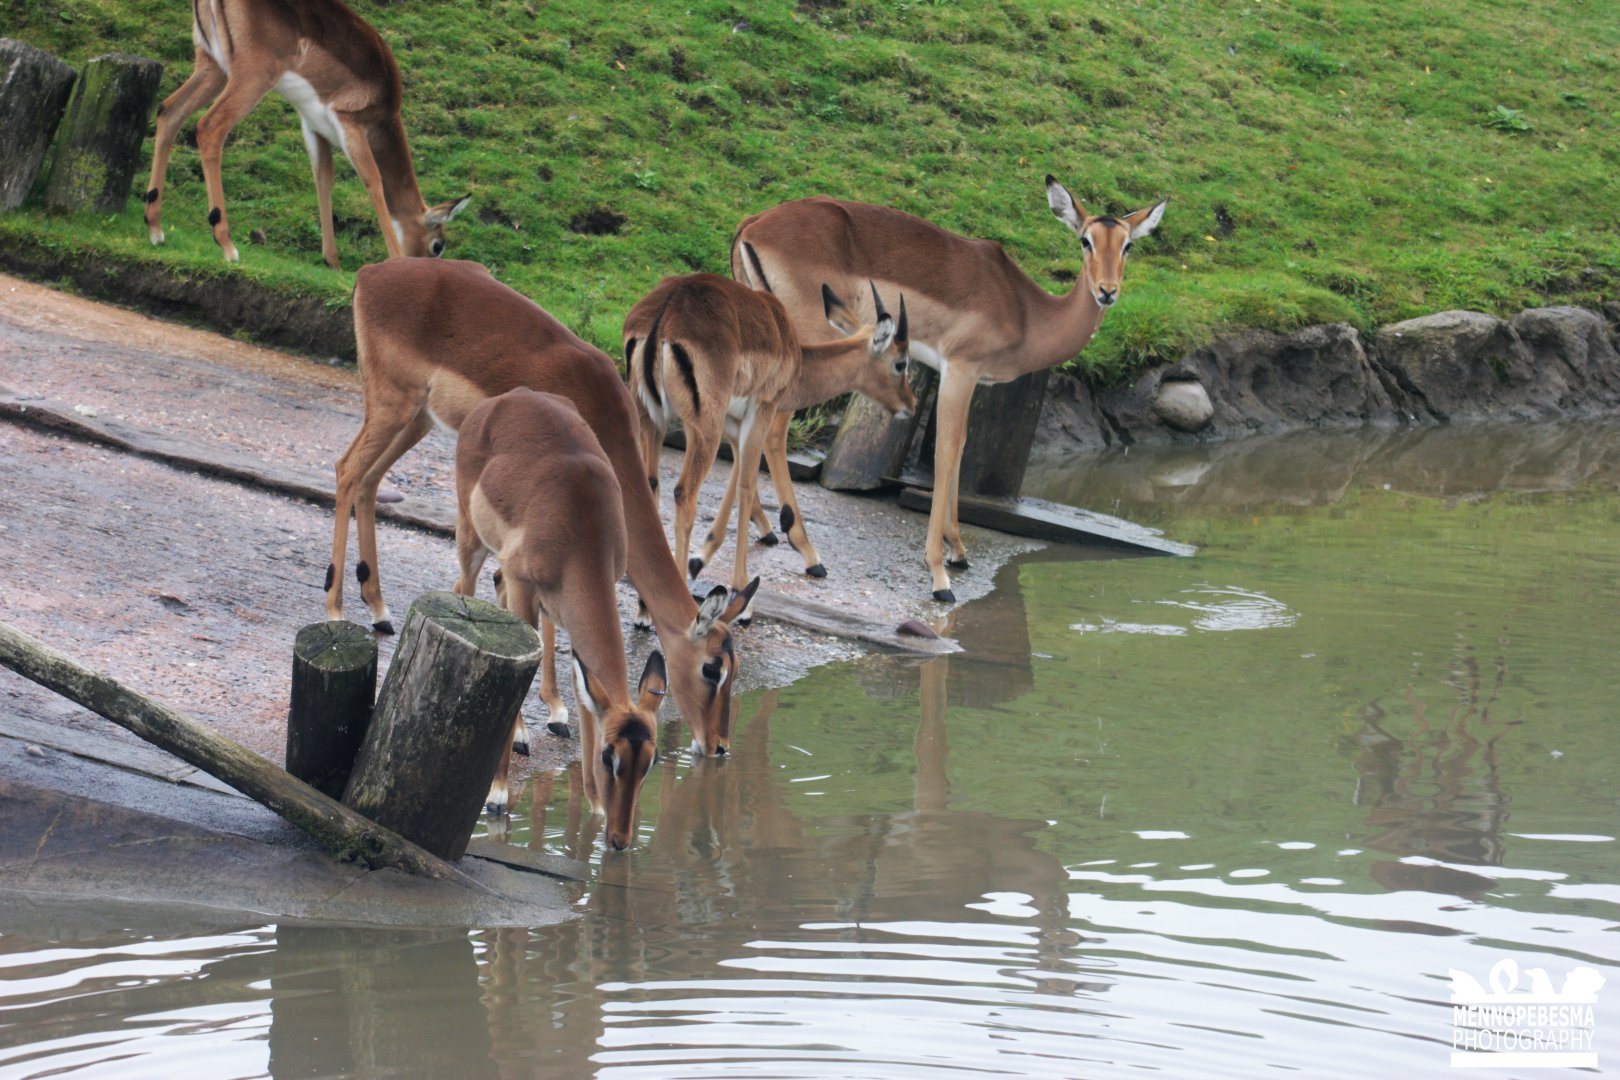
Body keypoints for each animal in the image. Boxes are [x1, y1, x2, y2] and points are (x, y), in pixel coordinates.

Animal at [143, 0, 469, 267]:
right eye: (437, 245)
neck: (384, 106)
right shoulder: (351, 126)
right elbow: (373, 181)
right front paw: (395, 260)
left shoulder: (314, 127)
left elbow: (323, 179)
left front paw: (333, 262)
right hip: (251, 79)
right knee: (210, 127)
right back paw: (226, 244)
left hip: (212, 68)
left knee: (169, 112)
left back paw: (155, 226)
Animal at [326, 258, 758, 759]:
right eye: (711, 667)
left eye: (734, 667)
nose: (719, 745)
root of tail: (373, 272)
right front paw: (528, 729)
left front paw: (554, 709)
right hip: (394, 404)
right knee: (346, 471)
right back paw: (336, 610)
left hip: (418, 418)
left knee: (369, 482)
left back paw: (379, 609)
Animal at [452, 388, 665, 843]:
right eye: (610, 756)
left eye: (649, 763)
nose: (620, 840)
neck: (581, 526)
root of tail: (509, 397)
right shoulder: (524, 588)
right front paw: (497, 795)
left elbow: (583, 692)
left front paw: (595, 807)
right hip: (472, 539)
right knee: (464, 588)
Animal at [624, 266, 915, 615]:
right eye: (901, 363)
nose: (911, 405)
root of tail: (664, 314)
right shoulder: (763, 408)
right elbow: (747, 484)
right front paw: (743, 589)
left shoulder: (735, 420)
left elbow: (737, 473)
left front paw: (703, 557)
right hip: (701, 429)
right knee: (684, 494)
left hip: (651, 418)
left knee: (649, 485)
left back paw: (645, 611)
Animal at [732, 177, 1167, 601]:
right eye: (1085, 240)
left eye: (1127, 244)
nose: (1107, 291)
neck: (1026, 311)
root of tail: (753, 224)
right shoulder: (960, 369)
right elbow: (946, 450)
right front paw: (940, 576)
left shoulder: (968, 378)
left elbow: (959, 451)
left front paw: (958, 551)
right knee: (774, 432)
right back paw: (809, 554)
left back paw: (766, 530)